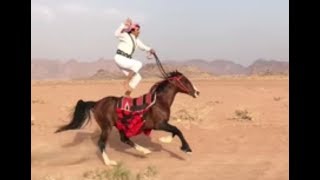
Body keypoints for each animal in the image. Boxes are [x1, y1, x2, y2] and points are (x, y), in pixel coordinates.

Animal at [55, 54, 200, 165]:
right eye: (186, 81)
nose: (197, 92)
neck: (159, 102)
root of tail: (97, 103)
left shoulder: (162, 124)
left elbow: (174, 131)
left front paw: (165, 140)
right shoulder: (159, 124)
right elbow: (177, 130)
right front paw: (187, 148)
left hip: (119, 125)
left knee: (124, 139)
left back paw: (144, 151)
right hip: (106, 126)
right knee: (102, 143)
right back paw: (110, 163)